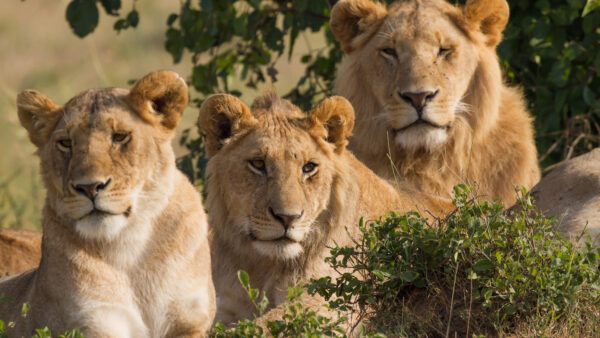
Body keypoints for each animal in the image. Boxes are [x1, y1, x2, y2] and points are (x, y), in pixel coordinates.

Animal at [0, 70, 214, 336]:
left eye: (119, 137)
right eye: (66, 143)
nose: (89, 187)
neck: (131, 248)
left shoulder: (190, 320)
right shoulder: (93, 321)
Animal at [197, 90, 450, 328]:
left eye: (309, 167)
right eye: (258, 164)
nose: (288, 218)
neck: (264, 266)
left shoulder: (333, 300)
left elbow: (266, 326)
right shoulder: (226, 304)